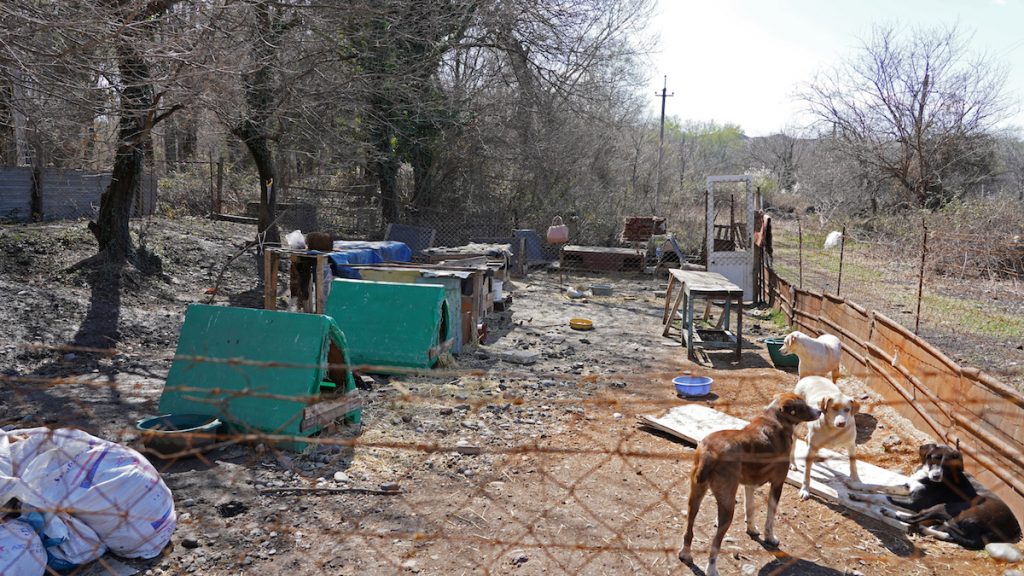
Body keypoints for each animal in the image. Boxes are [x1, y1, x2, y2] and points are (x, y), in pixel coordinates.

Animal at [684, 389, 819, 573]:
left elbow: (750, 510)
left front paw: (752, 529)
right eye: (803, 406)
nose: (820, 411)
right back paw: (711, 569)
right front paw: (770, 538)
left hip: (695, 497)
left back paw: (685, 555)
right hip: (727, 506)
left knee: (688, 531)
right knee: (715, 542)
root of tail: (709, 453)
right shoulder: (777, 484)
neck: (774, 419)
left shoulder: (749, 485)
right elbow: (770, 518)